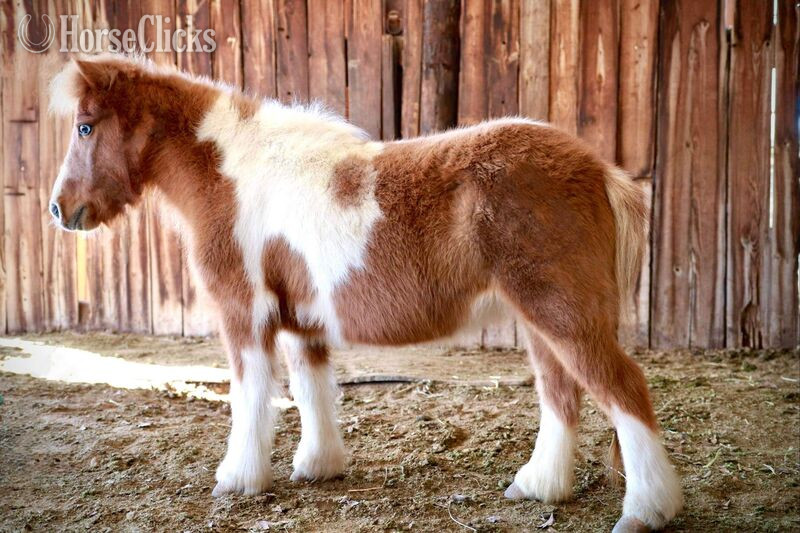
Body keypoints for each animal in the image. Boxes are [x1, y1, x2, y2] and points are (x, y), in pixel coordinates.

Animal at [49, 54, 682, 532]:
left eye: (85, 127)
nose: (59, 209)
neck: (231, 172)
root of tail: (600, 170)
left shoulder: (244, 314)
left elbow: (249, 395)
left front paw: (237, 478)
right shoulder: (301, 320)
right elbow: (311, 389)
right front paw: (318, 466)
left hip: (563, 313)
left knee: (622, 389)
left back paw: (646, 511)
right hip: (539, 318)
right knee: (561, 394)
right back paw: (538, 487)